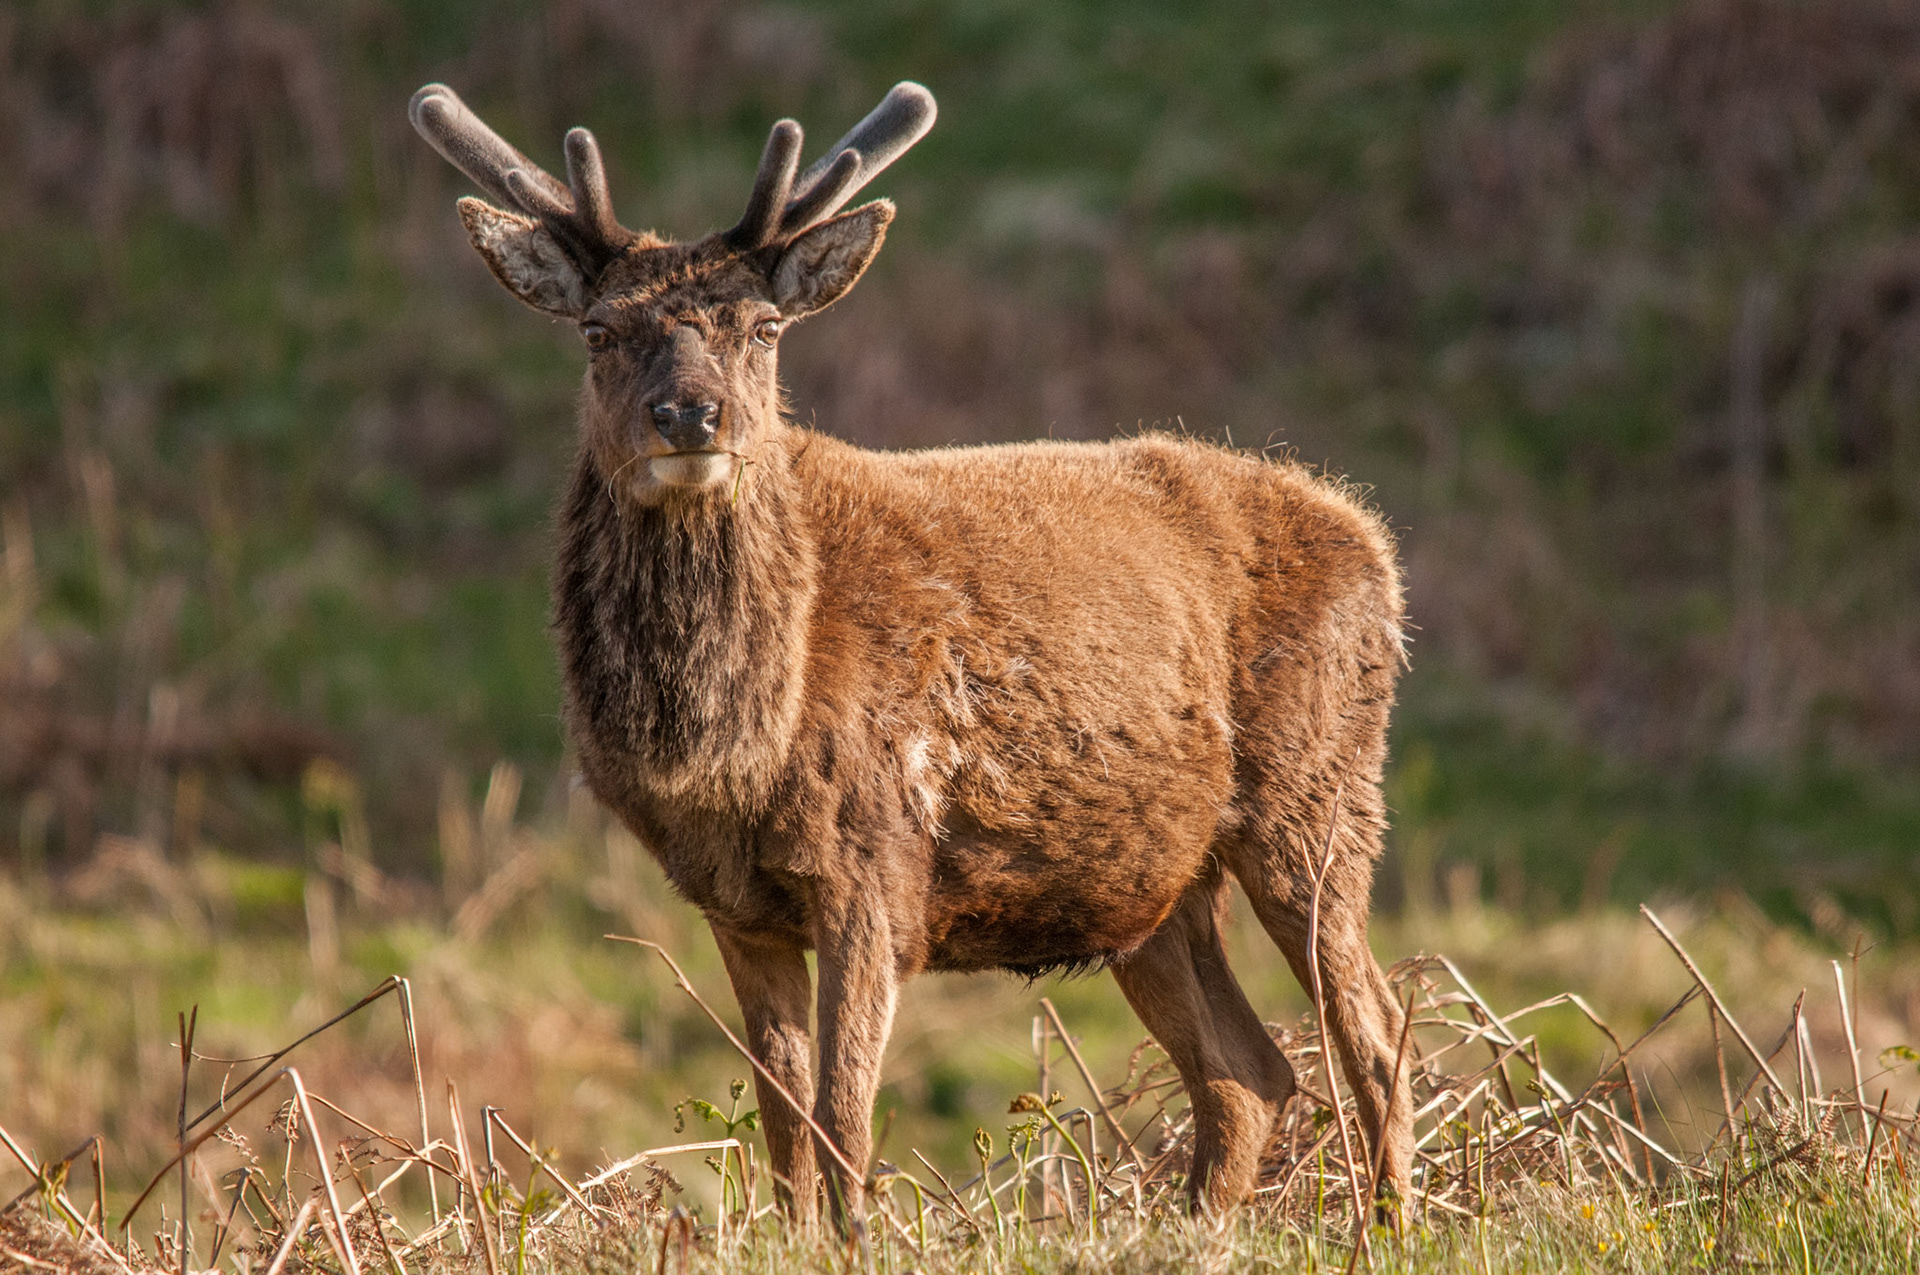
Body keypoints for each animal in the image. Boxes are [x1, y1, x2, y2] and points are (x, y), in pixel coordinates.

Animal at [409, 79, 1414, 1230]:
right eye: (597, 328)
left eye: (763, 327)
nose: (690, 413)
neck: (730, 751)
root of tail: (1374, 542)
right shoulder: (734, 907)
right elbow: (784, 1131)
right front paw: (799, 1241)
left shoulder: (873, 858)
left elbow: (843, 1123)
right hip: (1156, 886)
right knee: (1249, 1073)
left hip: (1321, 792)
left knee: (1376, 1034)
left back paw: (1392, 1224)